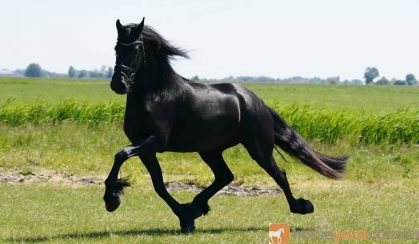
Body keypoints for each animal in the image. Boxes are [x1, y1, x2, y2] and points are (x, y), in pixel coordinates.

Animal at [104, 18, 348, 234]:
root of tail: (256, 102)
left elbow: (121, 154)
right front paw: (185, 217)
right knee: (225, 176)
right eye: (116, 47)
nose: (118, 84)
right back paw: (196, 207)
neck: (155, 94)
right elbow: (158, 185)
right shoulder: (145, 147)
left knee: (279, 174)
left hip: (258, 149)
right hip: (210, 150)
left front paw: (111, 199)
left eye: (136, 49)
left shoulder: (156, 141)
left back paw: (301, 206)